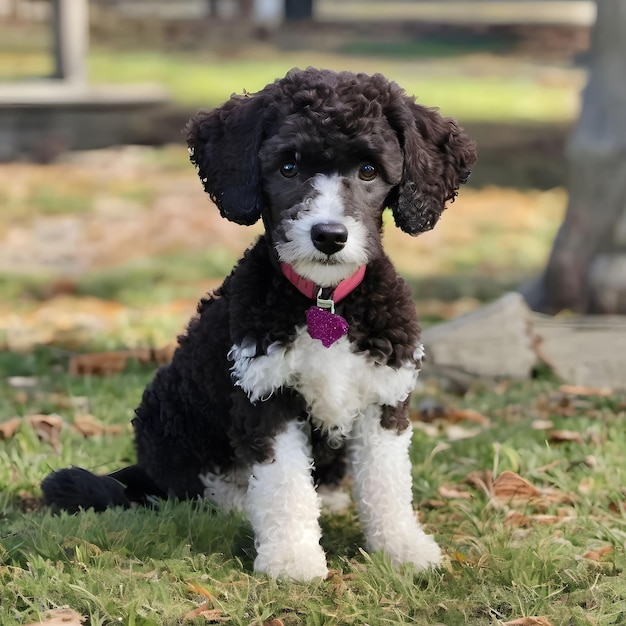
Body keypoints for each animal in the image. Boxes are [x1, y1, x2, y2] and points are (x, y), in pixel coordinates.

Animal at [42, 68, 472, 580]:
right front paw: (293, 559)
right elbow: (284, 487)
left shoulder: (383, 398)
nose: (329, 236)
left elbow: (387, 483)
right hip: (168, 414)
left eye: (368, 171)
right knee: (208, 491)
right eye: (288, 168)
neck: (324, 300)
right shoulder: (266, 398)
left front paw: (402, 548)